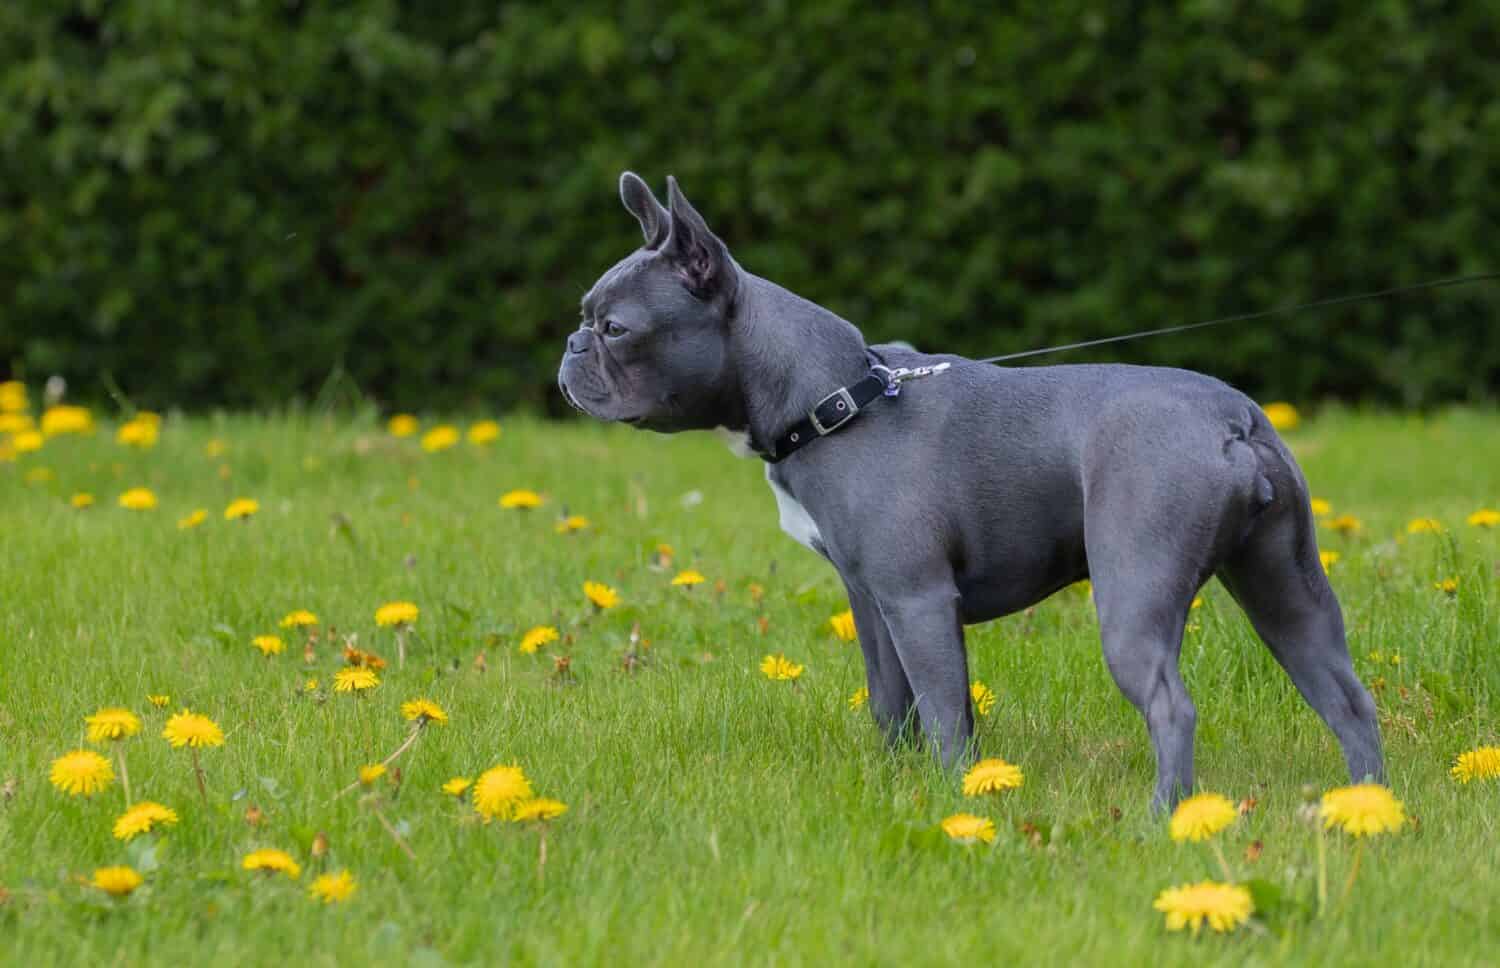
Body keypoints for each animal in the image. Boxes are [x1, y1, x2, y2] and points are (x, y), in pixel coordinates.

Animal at [561, 171, 1380, 810]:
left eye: (615, 328)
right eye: (586, 319)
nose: (570, 347)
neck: (836, 397)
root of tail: (1233, 418)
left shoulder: (920, 601)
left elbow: (946, 713)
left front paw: (959, 797)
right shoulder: (876, 602)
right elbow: (895, 704)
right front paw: (899, 785)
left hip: (1136, 590)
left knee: (1170, 708)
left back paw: (1161, 821)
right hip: (1285, 589)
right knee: (1346, 696)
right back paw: (1368, 807)